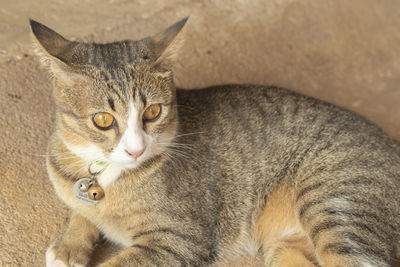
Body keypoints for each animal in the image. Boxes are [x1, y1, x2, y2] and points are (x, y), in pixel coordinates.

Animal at [30, 17, 400, 267]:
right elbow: (79, 211)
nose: (136, 149)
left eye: (152, 111)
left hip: (335, 202)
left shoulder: (178, 239)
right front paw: (69, 246)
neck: (104, 172)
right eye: (103, 120)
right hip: (288, 248)